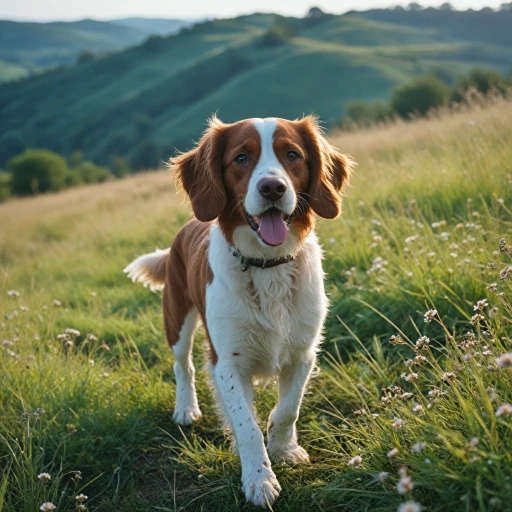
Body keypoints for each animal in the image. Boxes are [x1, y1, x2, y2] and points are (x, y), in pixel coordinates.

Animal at [124, 116, 352, 508]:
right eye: (241, 158)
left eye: (292, 154)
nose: (273, 187)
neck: (266, 266)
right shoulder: (227, 363)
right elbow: (247, 426)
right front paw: (259, 479)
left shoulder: (303, 353)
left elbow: (288, 409)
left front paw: (284, 448)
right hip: (177, 322)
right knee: (182, 366)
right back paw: (186, 409)